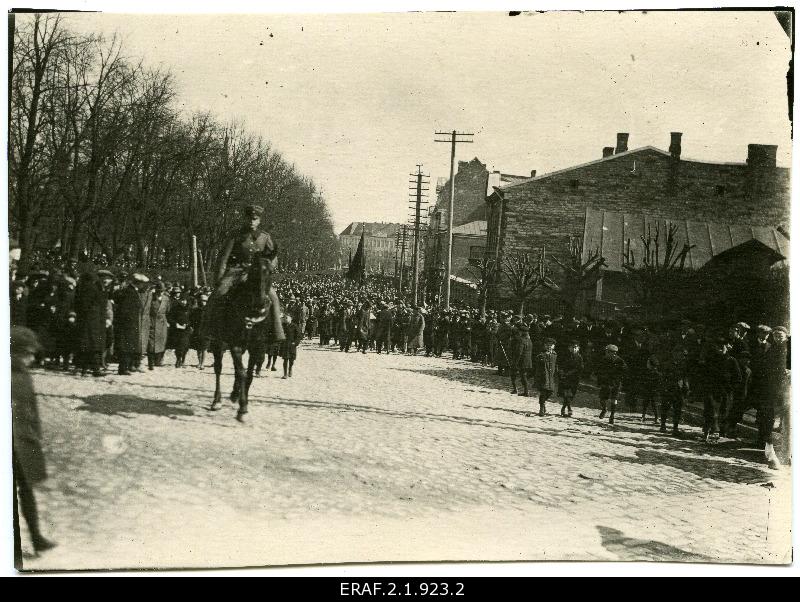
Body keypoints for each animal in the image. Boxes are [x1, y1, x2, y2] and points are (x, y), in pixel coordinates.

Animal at [208, 254, 276, 422]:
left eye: (271, 271)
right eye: (254, 270)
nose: (260, 303)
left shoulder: (257, 346)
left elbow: (249, 374)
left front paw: (241, 400)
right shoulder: (235, 344)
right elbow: (241, 372)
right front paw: (242, 408)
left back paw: (234, 393)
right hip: (218, 342)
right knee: (218, 368)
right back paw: (217, 400)